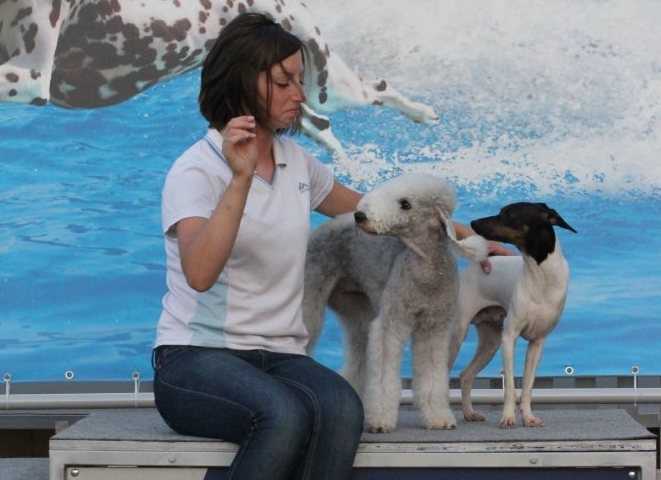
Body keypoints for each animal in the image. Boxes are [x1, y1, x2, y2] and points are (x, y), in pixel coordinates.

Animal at [303, 173, 488, 432]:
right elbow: (383, 377)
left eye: (406, 204)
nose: (360, 216)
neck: (425, 270)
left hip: (356, 310)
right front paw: (380, 420)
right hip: (311, 300)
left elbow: (432, 376)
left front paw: (438, 417)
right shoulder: (391, 324)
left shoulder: (434, 329)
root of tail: (321, 229)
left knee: (358, 355)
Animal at [449, 202, 576, 428]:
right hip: (458, 334)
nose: (473, 222)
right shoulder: (509, 338)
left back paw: (469, 413)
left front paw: (528, 417)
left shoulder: (537, 343)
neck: (541, 277)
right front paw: (508, 417)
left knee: (465, 375)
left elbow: (527, 387)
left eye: (507, 214)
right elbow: (509, 386)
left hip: (490, 343)